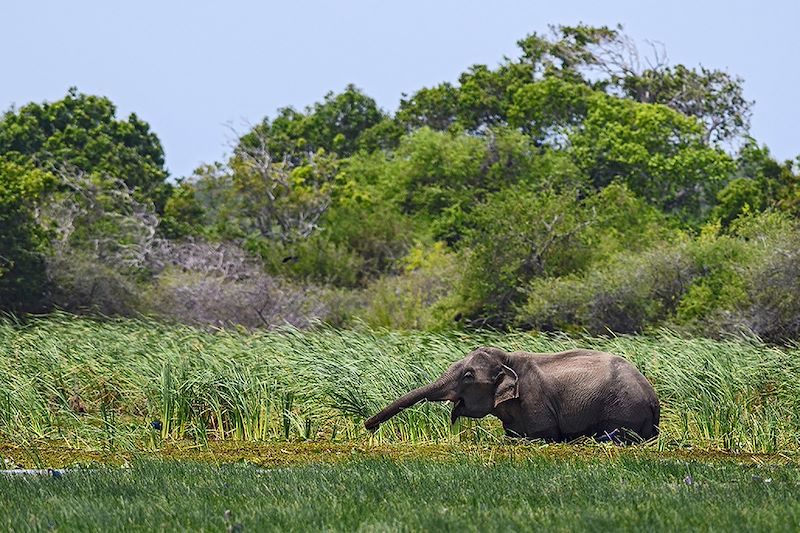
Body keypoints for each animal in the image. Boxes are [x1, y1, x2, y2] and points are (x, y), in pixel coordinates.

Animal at [366, 344, 660, 440]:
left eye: (468, 376)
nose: (368, 427)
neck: (508, 358)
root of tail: (653, 399)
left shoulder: (535, 401)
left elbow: (543, 434)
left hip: (621, 411)